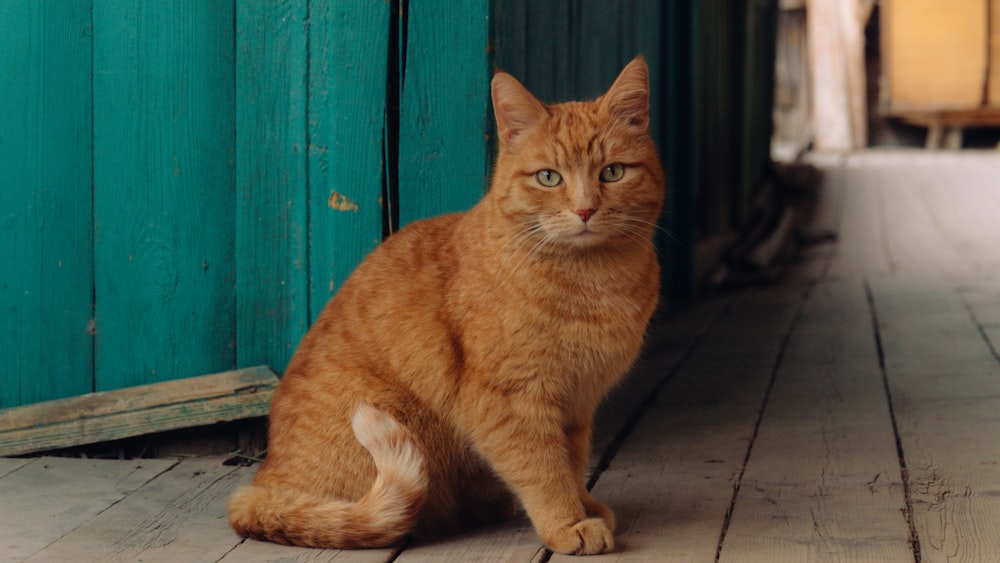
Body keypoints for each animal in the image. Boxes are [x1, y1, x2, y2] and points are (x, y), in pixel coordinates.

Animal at [227, 57, 664, 556]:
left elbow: (571, 463)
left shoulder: (576, 405)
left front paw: (585, 507)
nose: (585, 210)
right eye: (549, 177)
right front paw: (568, 522)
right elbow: (545, 471)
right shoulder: (512, 402)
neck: (594, 280)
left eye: (612, 172)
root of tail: (262, 483)